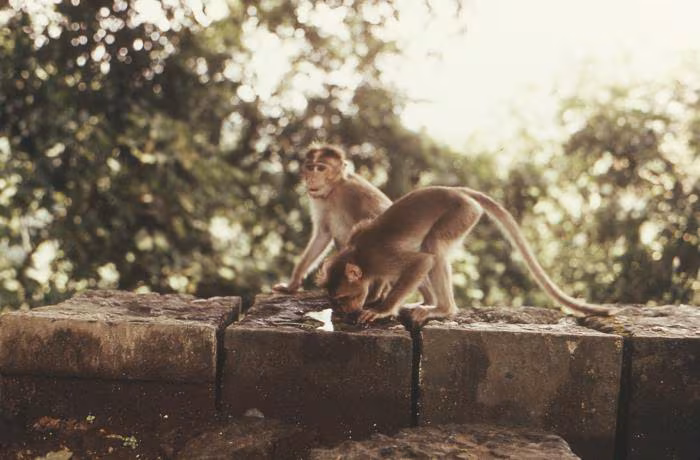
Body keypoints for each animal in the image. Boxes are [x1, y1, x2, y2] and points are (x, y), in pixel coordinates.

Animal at [317, 186, 618, 325]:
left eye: (342, 298)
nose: (342, 310)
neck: (359, 254)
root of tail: (457, 190)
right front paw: (375, 296)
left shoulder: (381, 258)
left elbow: (421, 262)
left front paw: (381, 309)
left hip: (463, 214)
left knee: (433, 247)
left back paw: (443, 309)